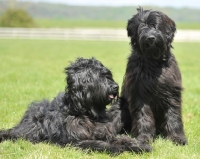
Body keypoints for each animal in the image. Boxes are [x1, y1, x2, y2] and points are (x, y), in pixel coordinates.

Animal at [0, 57, 150, 154]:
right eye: (99, 77)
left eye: (108, 75)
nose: (115, 86)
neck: (88, 113)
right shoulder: (76, 140)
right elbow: (96, 143)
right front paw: (113, 148)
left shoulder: (106, 132)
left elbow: (121, 139)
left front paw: (138, 146)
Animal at [119, 7, 187, 147]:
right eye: (141, 27)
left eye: (155, 25)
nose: (150, 38)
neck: (154, 61)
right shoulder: (139, 93)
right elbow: (143, 116)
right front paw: (143, 138)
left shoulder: (172, 93)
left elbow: (173, 115)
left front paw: (177, 138)